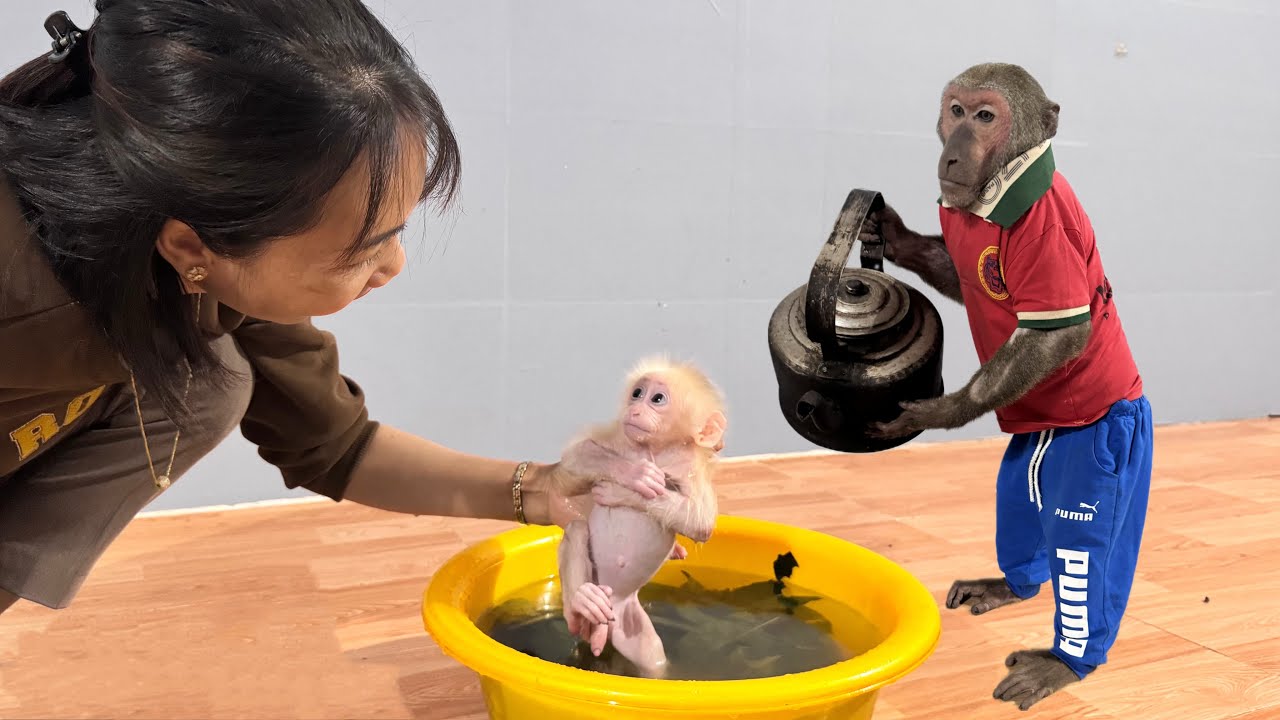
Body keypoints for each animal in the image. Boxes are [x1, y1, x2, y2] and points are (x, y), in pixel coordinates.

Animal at [546, 357, 726, 678]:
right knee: (578, 528)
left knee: (652, 662)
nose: (635, 409)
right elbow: (573, 461)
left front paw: (624, 493)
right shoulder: (618, 438)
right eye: (637, 393)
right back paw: (582, 601)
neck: (654, 450)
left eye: (657, 399)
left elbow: (700, 523)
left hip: (630, 624)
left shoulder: (691, 468)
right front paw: (633, 474)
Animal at [865, 63, 1154, 711]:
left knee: (1081, 546)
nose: (954, 147)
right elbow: (953, 268)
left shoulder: (1046, 228)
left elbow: (1059, 334)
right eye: (955, 109)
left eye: (985, 116)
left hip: (1107, 439)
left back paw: (1067, 661)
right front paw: (895, 235)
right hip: (1036, 446)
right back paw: (1013, 585)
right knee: (1019, 500)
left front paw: (942, 411)